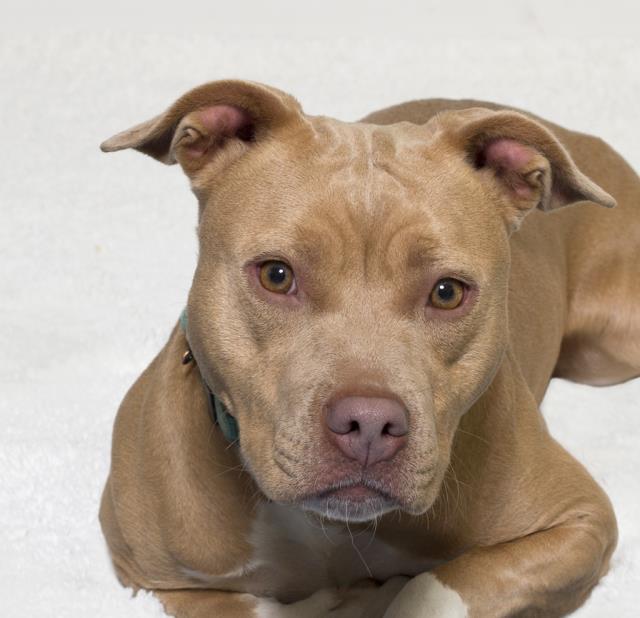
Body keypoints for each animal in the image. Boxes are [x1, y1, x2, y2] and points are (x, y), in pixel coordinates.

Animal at [99, 82, 640, 616]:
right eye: (276, 275)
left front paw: (377, 594)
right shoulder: (158, 579)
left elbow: (431, 590)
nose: (370, 424)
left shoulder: (579, 521)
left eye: (448, 292)